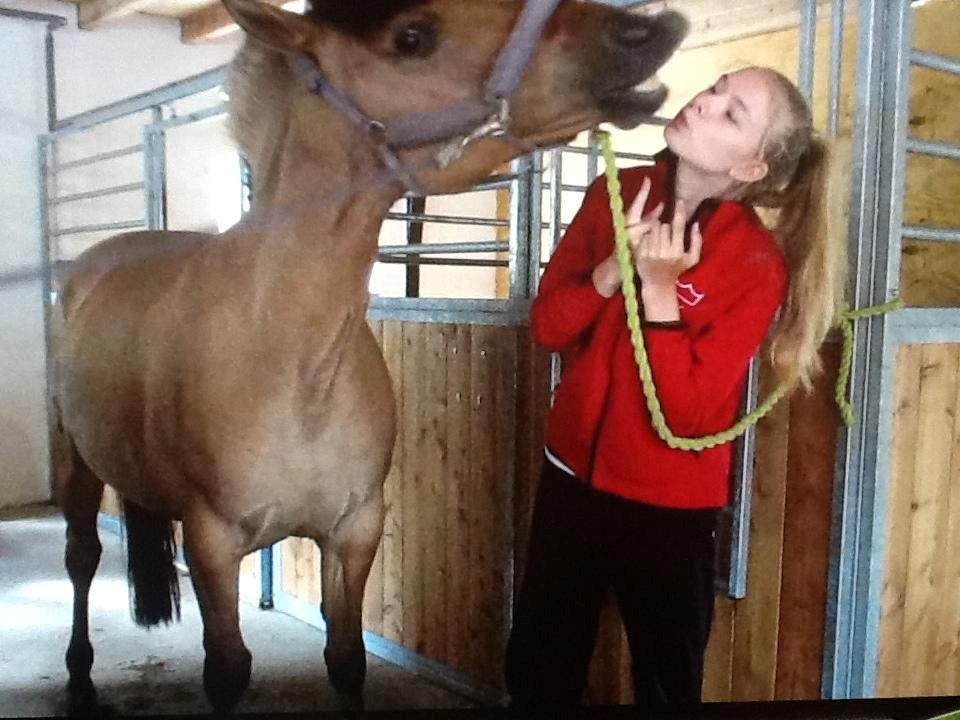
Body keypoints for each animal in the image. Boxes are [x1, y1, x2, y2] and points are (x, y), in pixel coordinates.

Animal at [55, 0, 687, 712]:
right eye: (411, 37)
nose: (643, 29)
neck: (289, 361)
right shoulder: (214, 546)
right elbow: (228, 668)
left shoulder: (355, 531)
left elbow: (346, 657)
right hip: (77, 465)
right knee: (81, 557)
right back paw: (80, 678)